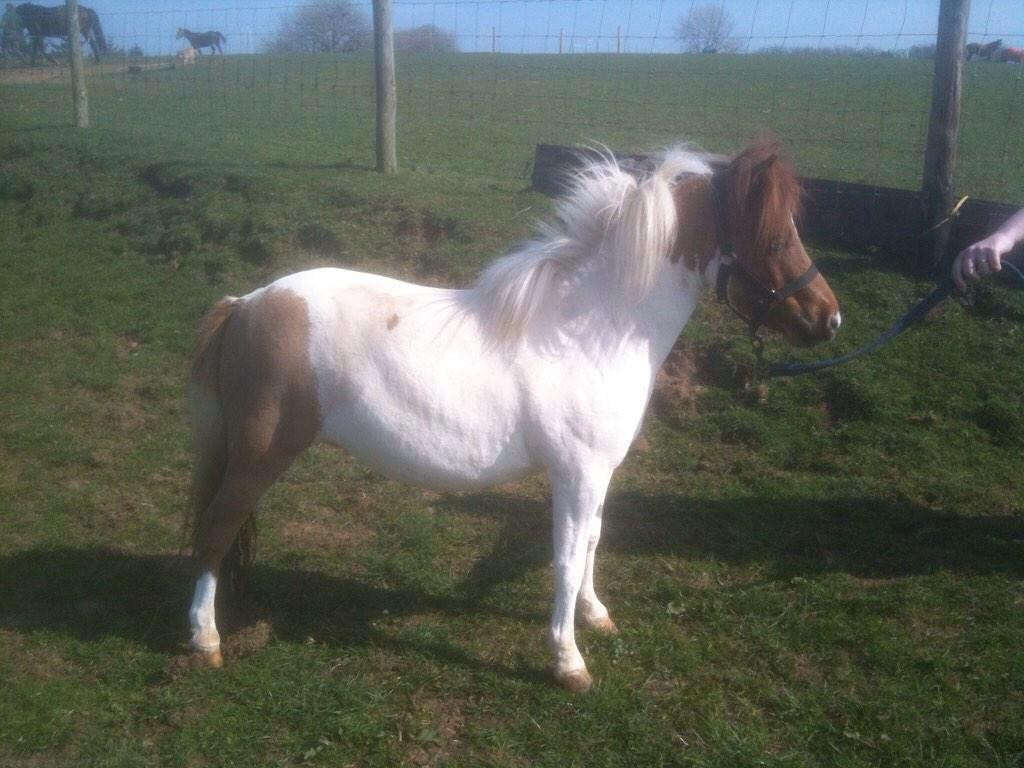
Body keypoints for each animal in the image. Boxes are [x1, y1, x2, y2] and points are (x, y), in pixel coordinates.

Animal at [184, 138, 841, 692]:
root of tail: (245, 305)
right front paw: (568, 661)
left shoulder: (597, 474)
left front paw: (595, 615)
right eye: (774, 241)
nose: (829, 319)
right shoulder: (575, 474)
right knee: (215, 530)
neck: (595, 326)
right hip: (258, 457)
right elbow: (567, 558)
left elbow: (594, 539)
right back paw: (205, 639)